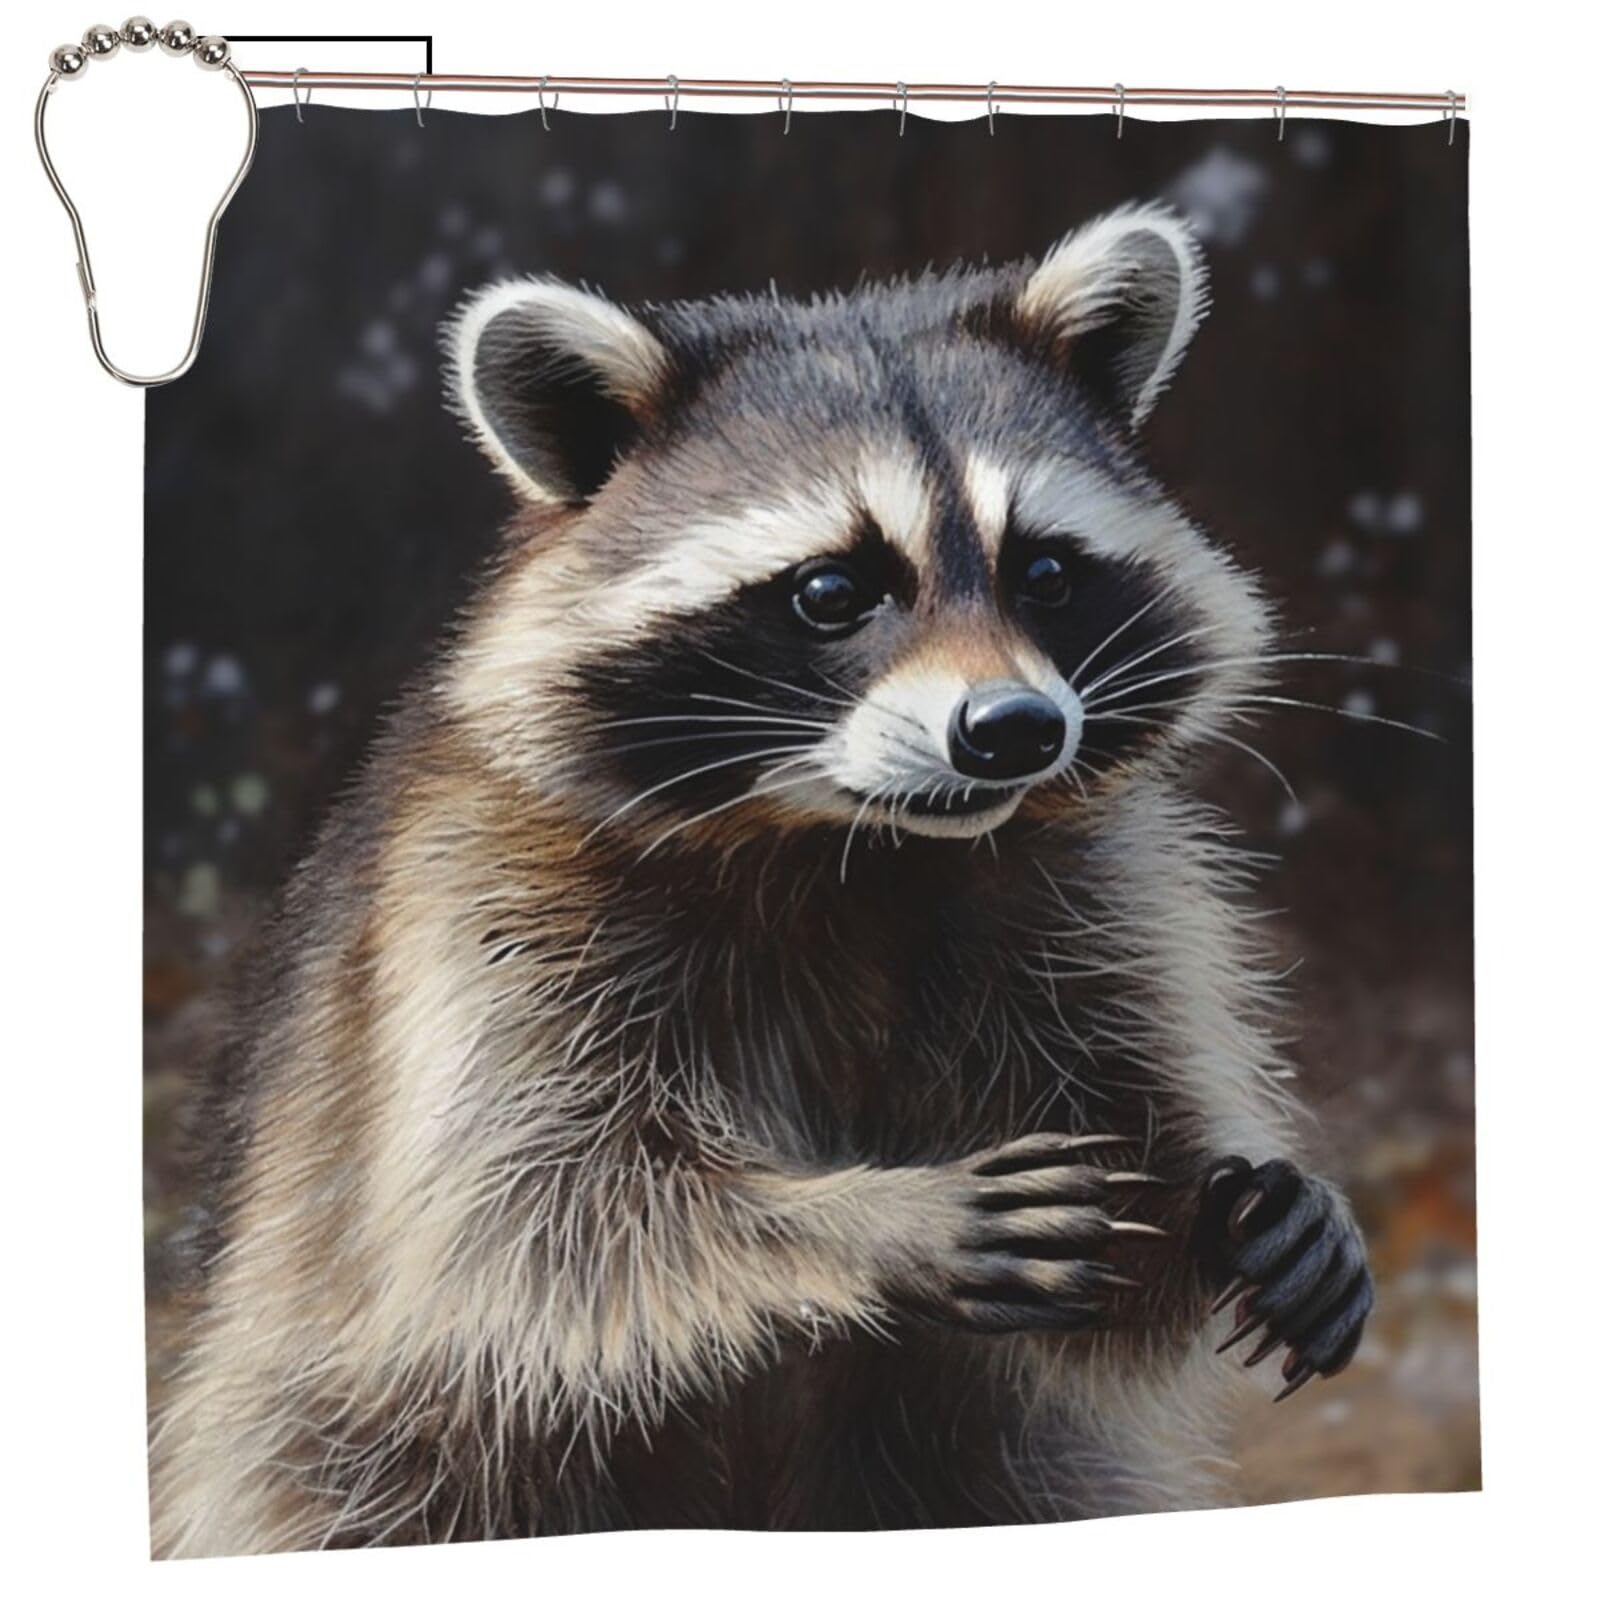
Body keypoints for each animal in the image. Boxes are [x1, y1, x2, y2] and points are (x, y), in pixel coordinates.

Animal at [151, 201, 1374, 1555]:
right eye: (832, 590)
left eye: (1045, 573)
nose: (1013, 730)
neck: (855, 845)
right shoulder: (482, 906)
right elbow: (520, 1220)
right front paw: (866, 1220)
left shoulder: (1081, 891)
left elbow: (1124, 1217)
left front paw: (1242, 1200)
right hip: (342, 1448)